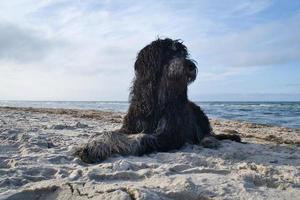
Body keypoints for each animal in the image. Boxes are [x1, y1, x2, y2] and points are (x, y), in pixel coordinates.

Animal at [75, 38, 241, 163]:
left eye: (183, 53)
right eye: (168, 52)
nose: (191, 65)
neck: (156, 100)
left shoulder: (170, 134)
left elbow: (141, 138)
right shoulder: (130, 125)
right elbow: (109, 133)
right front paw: (94, 144)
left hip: (200, 116)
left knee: (208, 133)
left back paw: (209, 141)